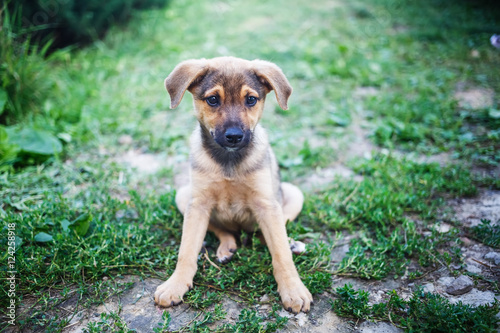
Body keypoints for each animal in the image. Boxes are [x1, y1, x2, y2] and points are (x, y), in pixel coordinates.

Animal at [154, 55, 312, 312]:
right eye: (213, 99)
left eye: (251, 99)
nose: (234, 136)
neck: (228, 160)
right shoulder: (198, 205)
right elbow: (186, 251)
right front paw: (175, 285)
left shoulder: (267, 205)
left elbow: (280, 253)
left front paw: (293, 289)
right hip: (183, 197)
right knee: (224, 230)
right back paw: (227, 247)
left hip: (293, 195)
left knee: (269, 233)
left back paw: (291, 244)